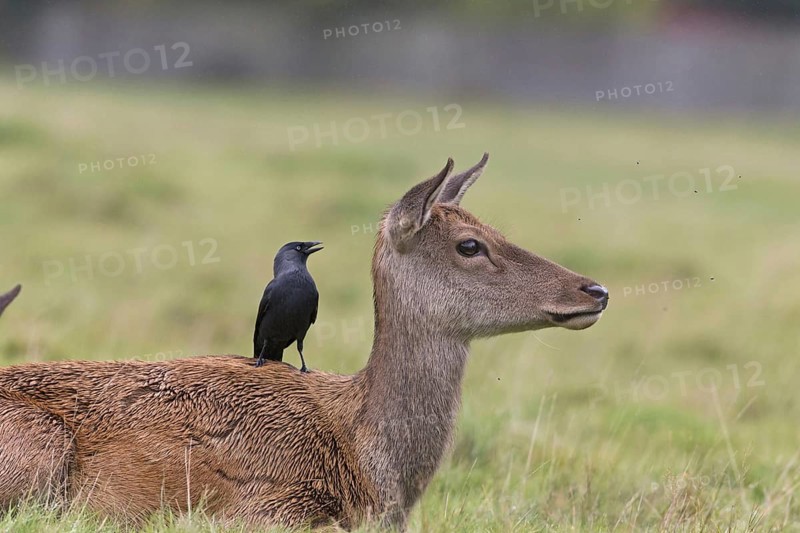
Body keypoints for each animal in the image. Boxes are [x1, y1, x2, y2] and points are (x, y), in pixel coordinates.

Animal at [0, 153, 609, 530]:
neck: (367, 462)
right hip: (37, 449)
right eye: (469, 244)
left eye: (494, 228)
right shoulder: (265, 503)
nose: (595, 289)